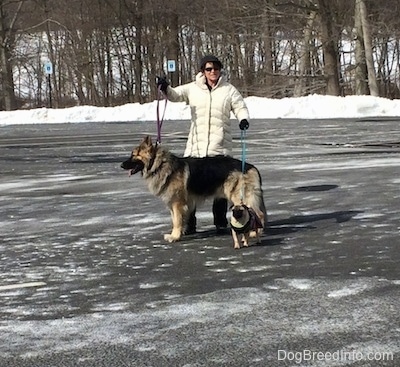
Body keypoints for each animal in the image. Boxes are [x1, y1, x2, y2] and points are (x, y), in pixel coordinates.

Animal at [122, 137, 266, 243]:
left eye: (133, 155)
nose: (121, 165)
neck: (159, 165)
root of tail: (250, 166)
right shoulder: (173, 205)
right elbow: (176, 220)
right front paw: (178, 233)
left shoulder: (177, 204)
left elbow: (177, 221)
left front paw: (174, 237)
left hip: (239, 198)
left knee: (258, 214)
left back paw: (255, 233)